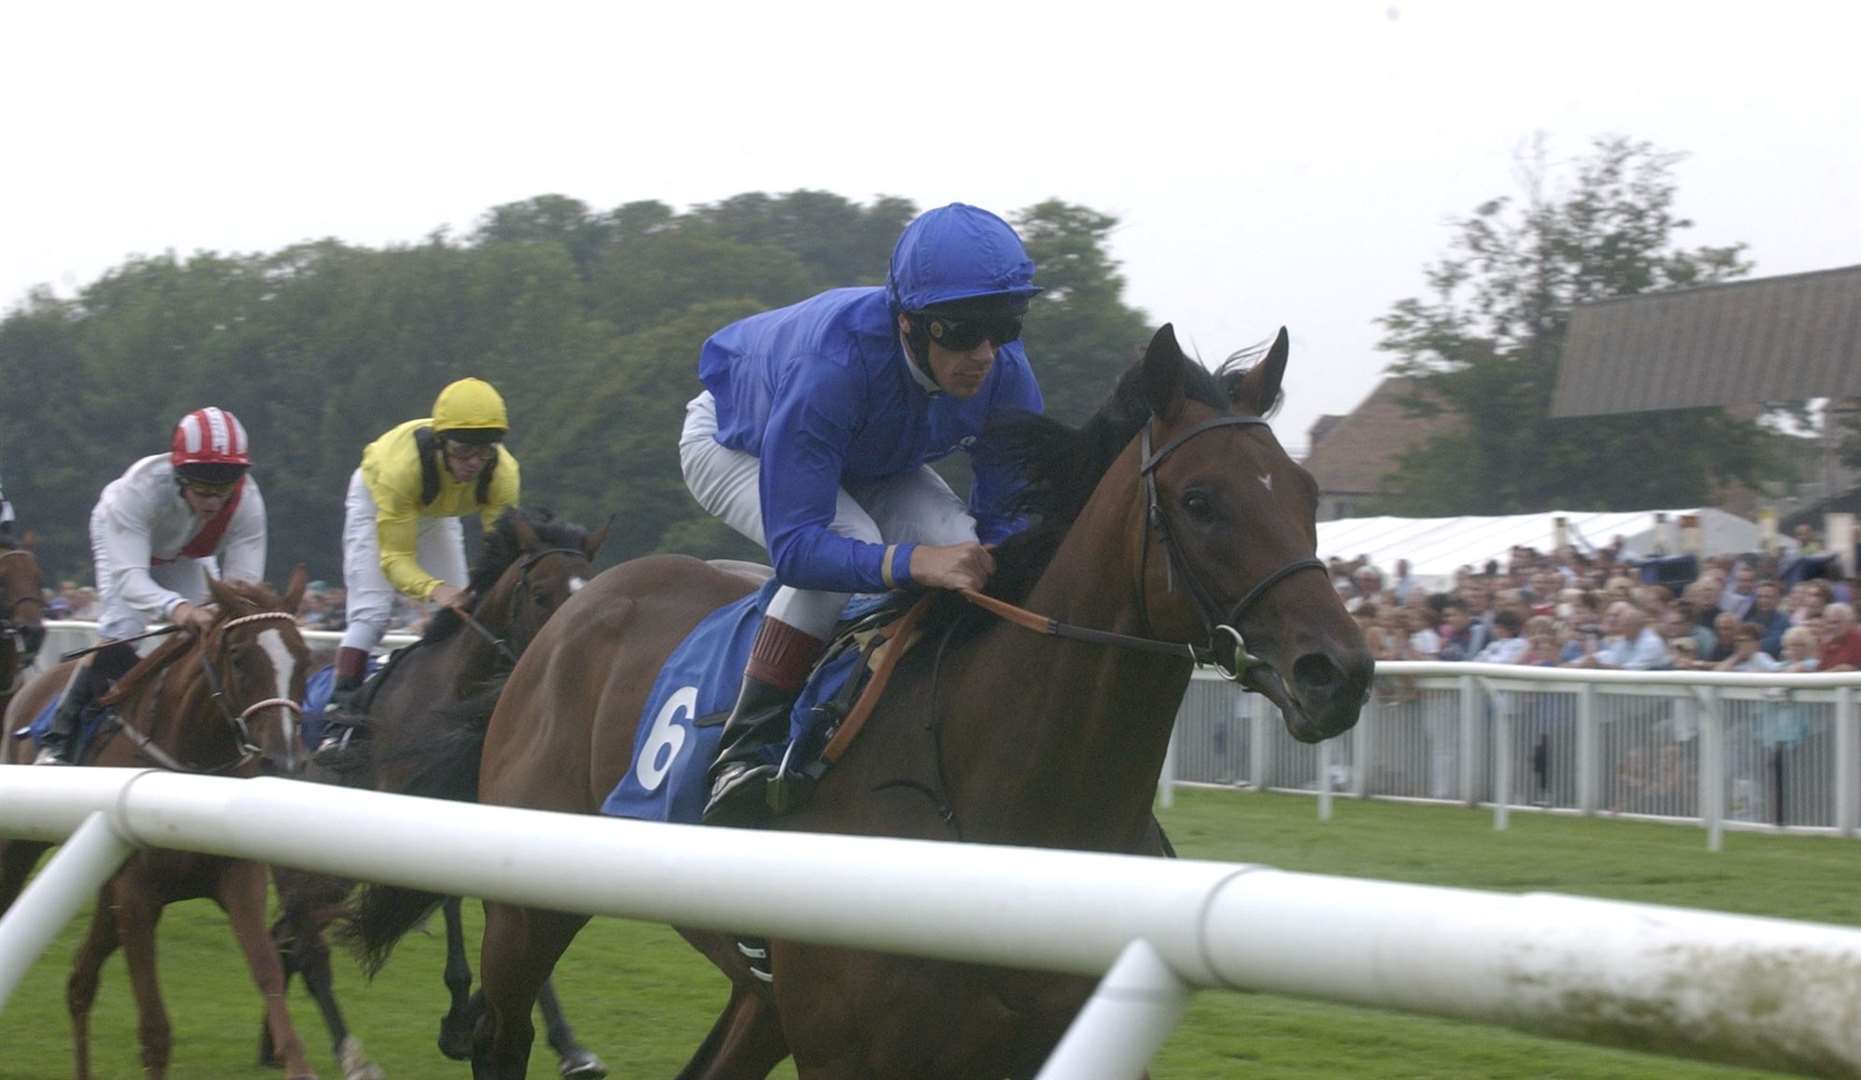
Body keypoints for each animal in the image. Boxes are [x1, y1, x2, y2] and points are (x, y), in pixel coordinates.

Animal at [0, 569, 316, 1072]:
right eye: (238, 657)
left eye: (305, 659)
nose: (283, 760)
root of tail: (28, 686)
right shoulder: (135, 895)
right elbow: (155, 1033)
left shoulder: (239, 880)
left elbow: (270, 979)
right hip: (21, 851)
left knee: (79, 980)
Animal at [267, 506, 610, 1080]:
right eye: (541, 593)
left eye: (592, 586)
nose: (572, 654)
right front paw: (459, 1023)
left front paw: (567, 1045)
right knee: (299, 937)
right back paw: (346, 1054)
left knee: (286, 936)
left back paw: (272, 1046)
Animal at [351, 324, 1369, 1072]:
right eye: (1200, 501)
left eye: (1308, 491)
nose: (1340, 671)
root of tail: (559, 628)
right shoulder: (854, 1052)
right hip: (530, 907)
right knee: (501, 1035)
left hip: (760, 994)